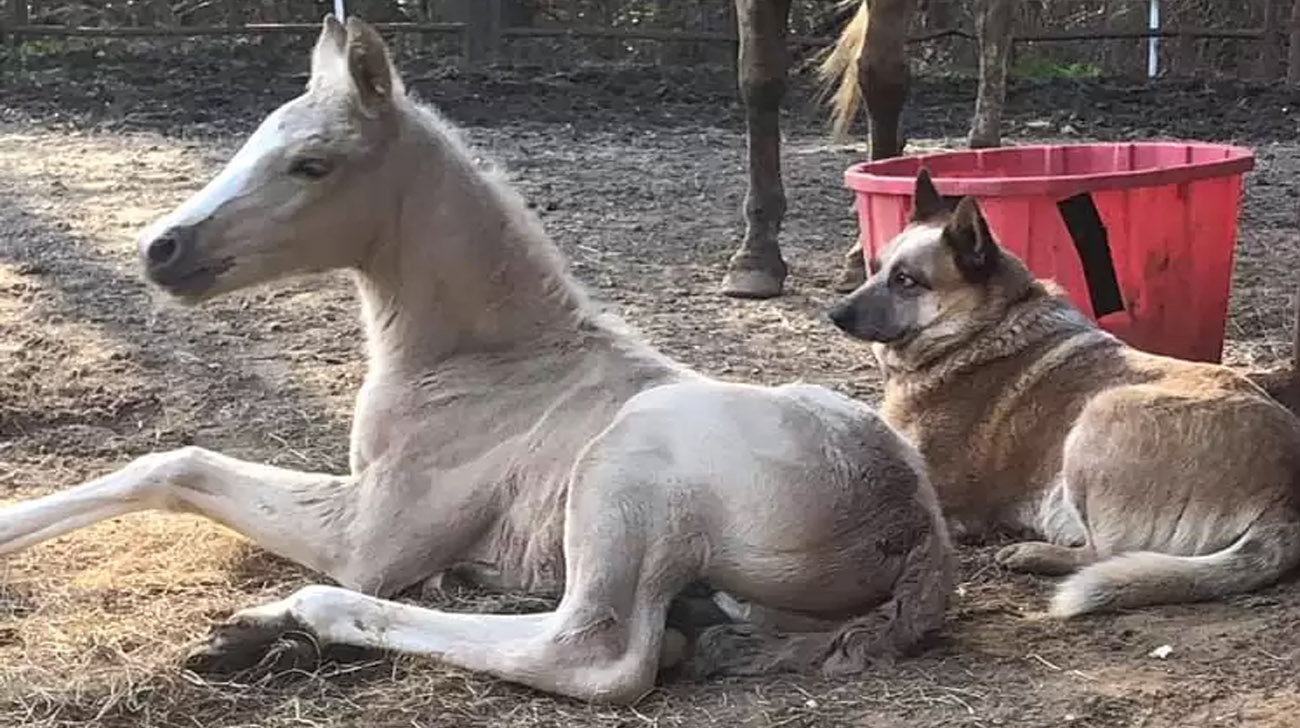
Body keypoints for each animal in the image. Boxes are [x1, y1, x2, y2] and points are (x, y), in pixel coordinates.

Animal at [2, 15, 956, 702]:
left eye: (311, 163)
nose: (160, 249)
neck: (484, 358)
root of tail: (915, 532)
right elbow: (172, 464)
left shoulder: (373, 532)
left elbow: (178, 464)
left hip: (626, 468)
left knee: (596, 654)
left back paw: (287, 619)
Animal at [826, 169, 1300, 613]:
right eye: (875, 267)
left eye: (906, 280)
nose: (834, 313)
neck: (980, 329)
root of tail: (1285, 500)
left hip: (1101, 413)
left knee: (1104, 553)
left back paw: (1033, 553)